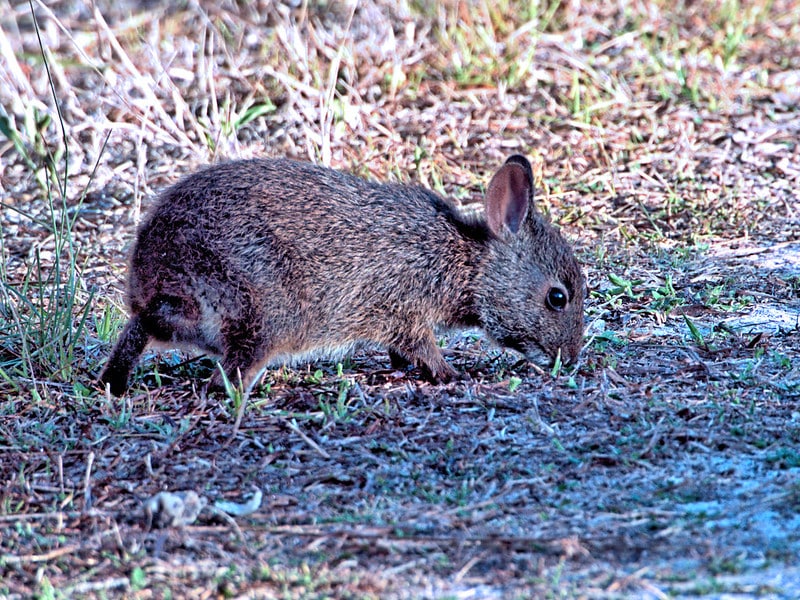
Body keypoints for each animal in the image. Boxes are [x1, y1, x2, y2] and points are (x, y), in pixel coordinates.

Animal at [100, 155, 586, 396]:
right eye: (557, 297)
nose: (571, 358)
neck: (467, 263)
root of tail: (157, 283)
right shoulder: (404, 310)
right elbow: (424, 348)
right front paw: (451, 376)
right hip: (261, 313)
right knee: (228, 375)